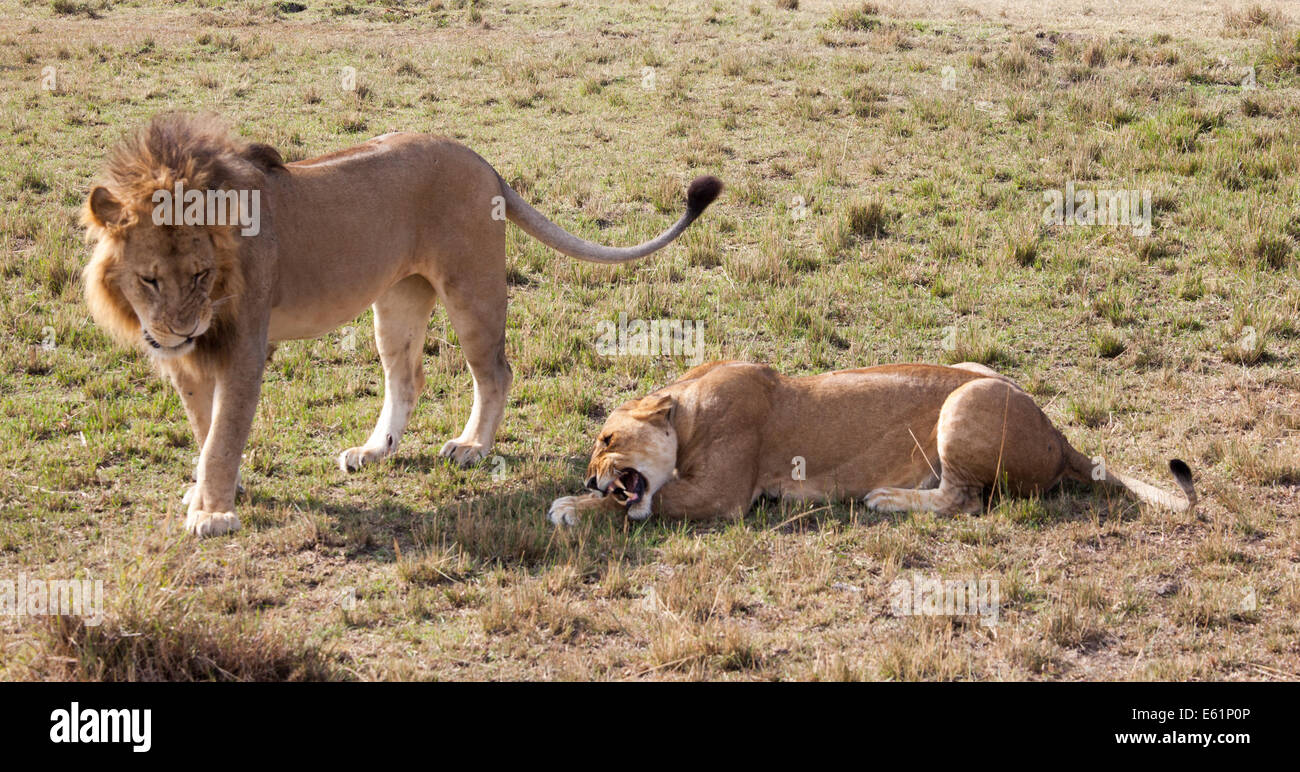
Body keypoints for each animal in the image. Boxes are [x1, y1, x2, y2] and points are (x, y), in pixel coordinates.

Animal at [83, 114, 722, 535]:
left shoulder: (245, 344)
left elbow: (223, 433)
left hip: (471, 290)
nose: (179, 332)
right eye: (149, 280)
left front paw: (212, 513)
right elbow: (204, 425)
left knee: (495, 371)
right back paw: (373, 451)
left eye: (199, 274)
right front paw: (211, 491)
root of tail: (482, 161)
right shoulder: (191, 360)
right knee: (407, 377)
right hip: (396, 301)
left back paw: (471, 446)